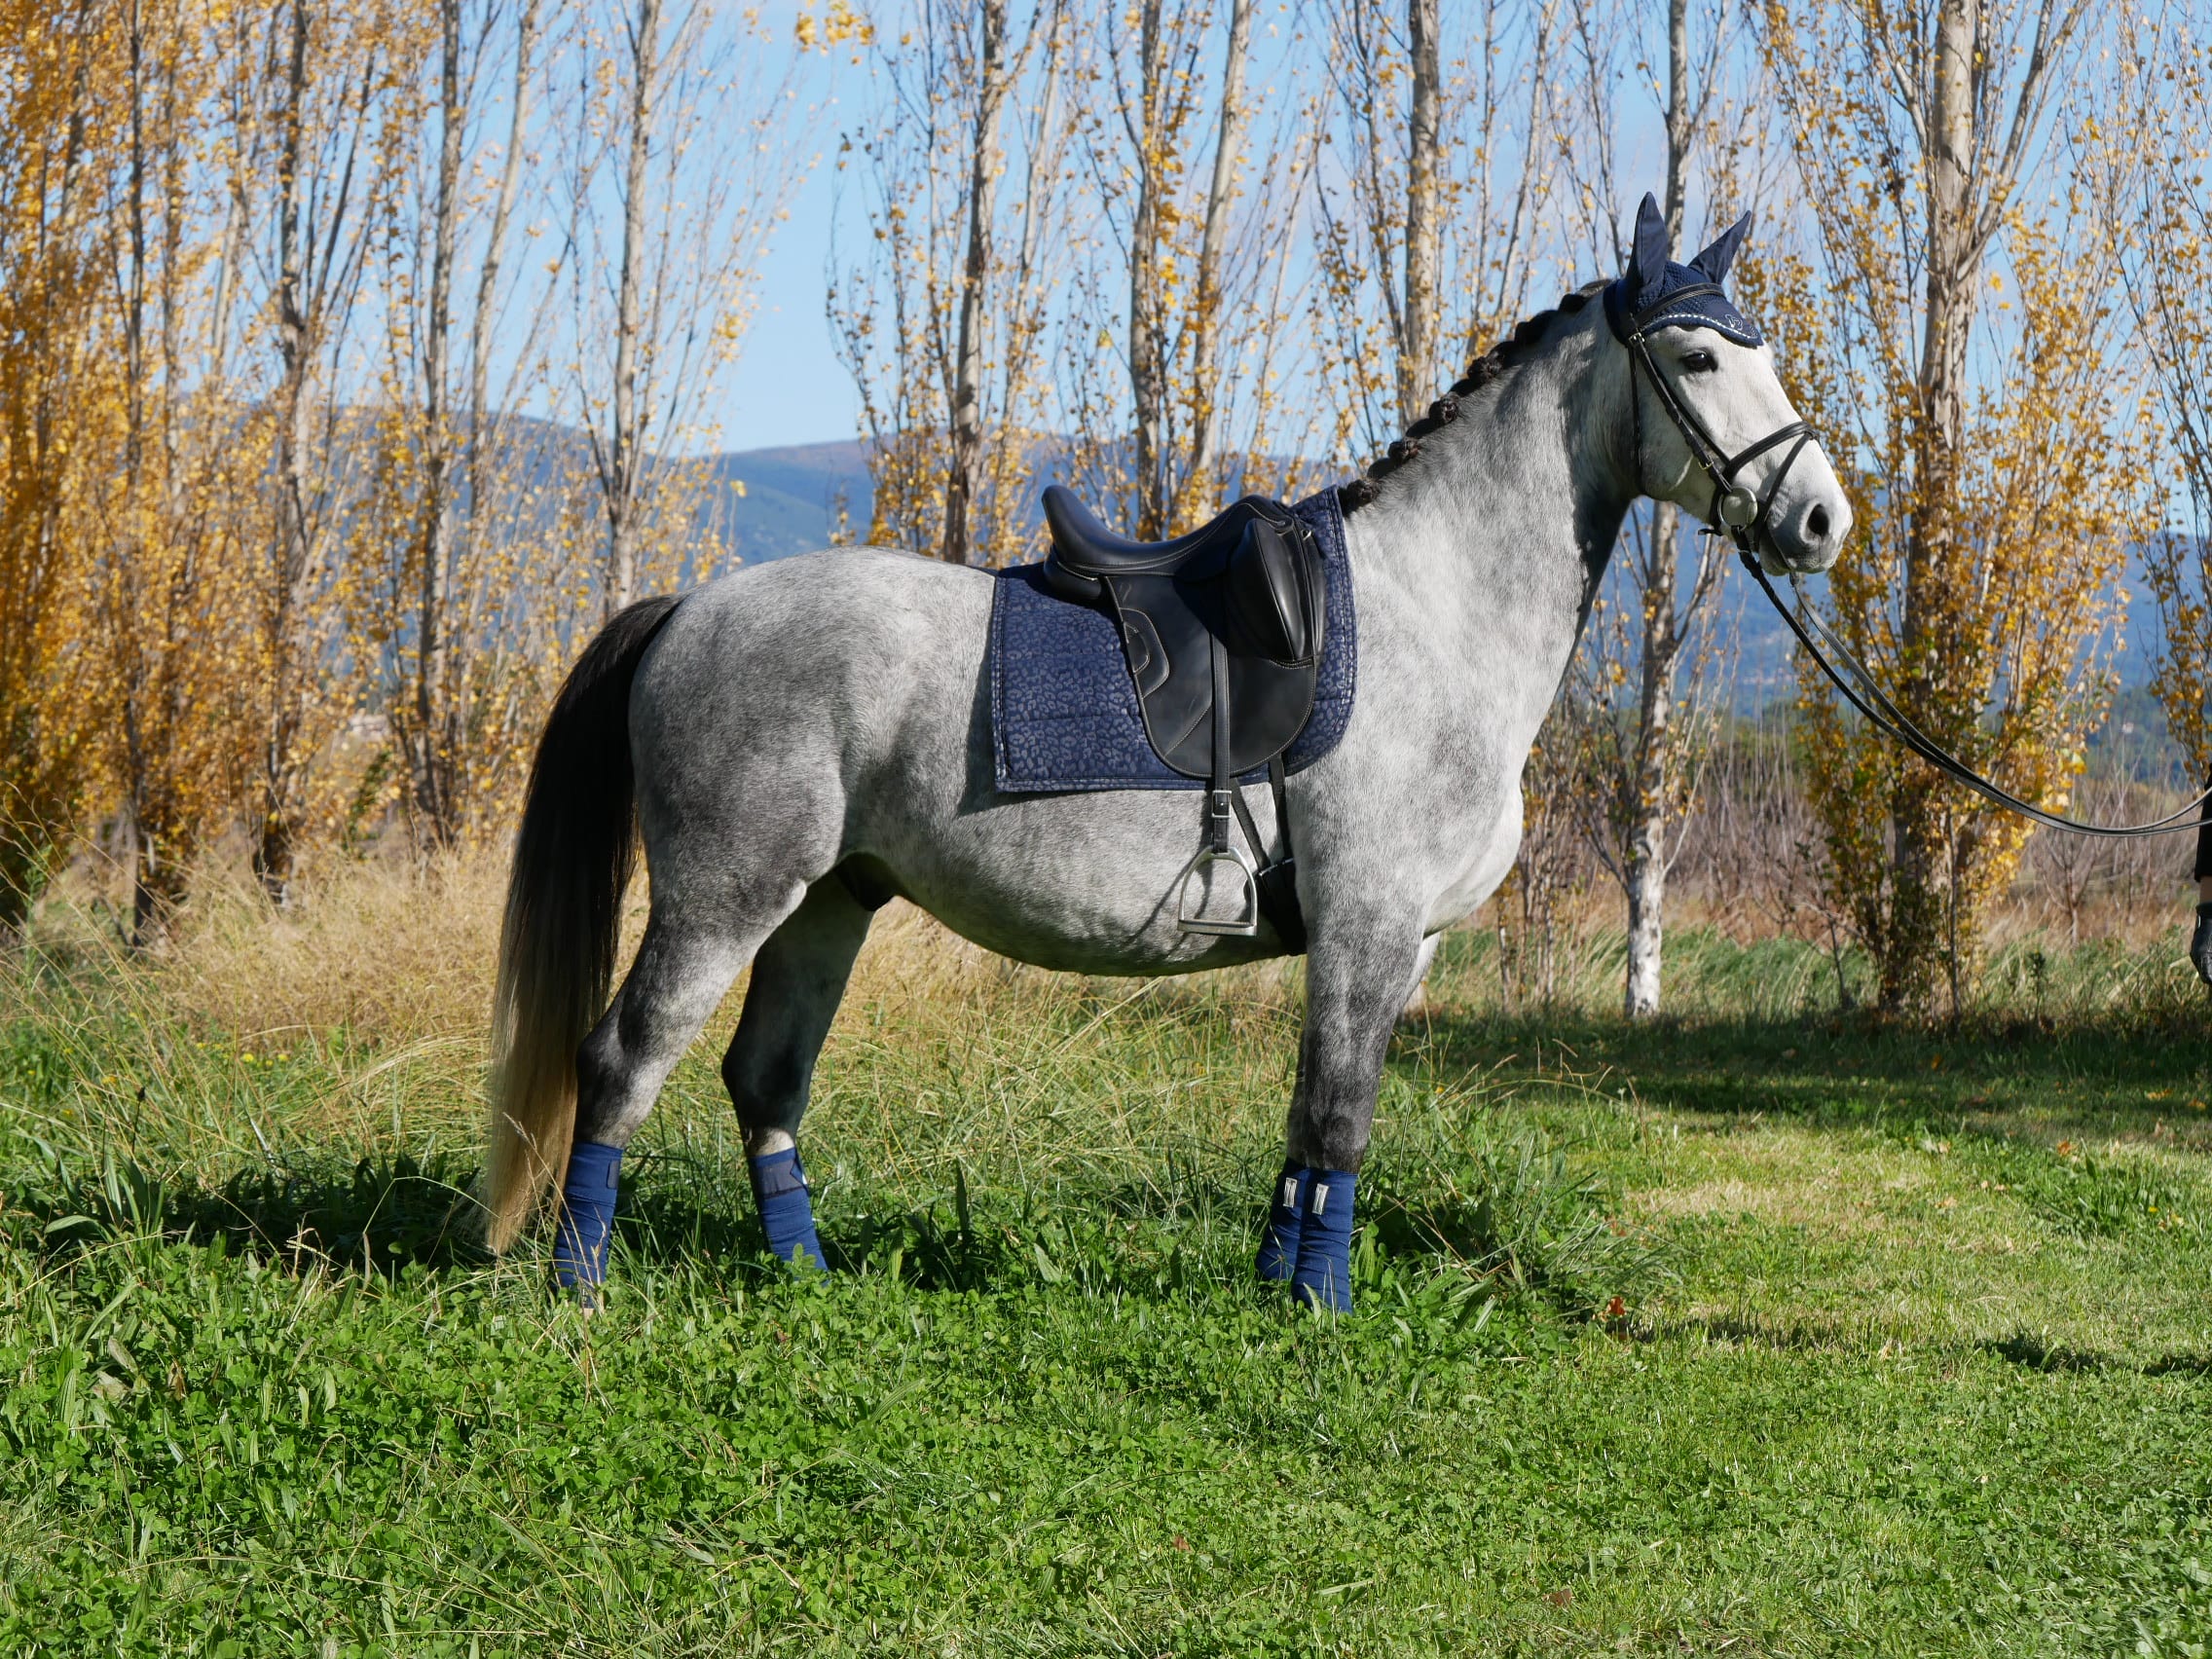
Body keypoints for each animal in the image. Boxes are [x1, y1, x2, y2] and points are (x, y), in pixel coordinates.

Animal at [480, 197, 1852, 1312]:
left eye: (1762, 351)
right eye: (1696, 355)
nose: (1820, 519)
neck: (1434, 609)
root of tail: (688, 611)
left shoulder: (1401, 942)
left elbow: (1308, 1130)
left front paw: (1279, 1286)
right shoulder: (1367, 923)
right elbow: (1339, 1119)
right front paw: (1322, 1312)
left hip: (829, 902)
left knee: (764, 1082)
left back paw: (807, 1282)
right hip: (725, 896)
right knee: (620, 1063)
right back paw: (579, 1289)